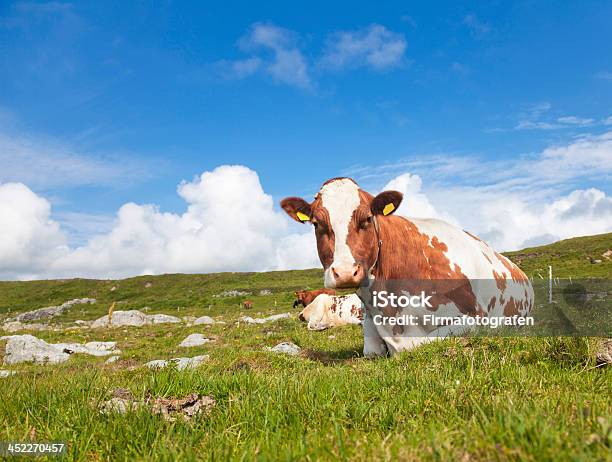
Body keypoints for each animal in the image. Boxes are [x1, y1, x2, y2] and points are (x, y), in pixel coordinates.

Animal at [280, 179, 532, 356]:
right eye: (317, 224)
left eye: (367, 218)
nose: (345, 273)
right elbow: (371, 349)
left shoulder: (477, 318)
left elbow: (415, 344)